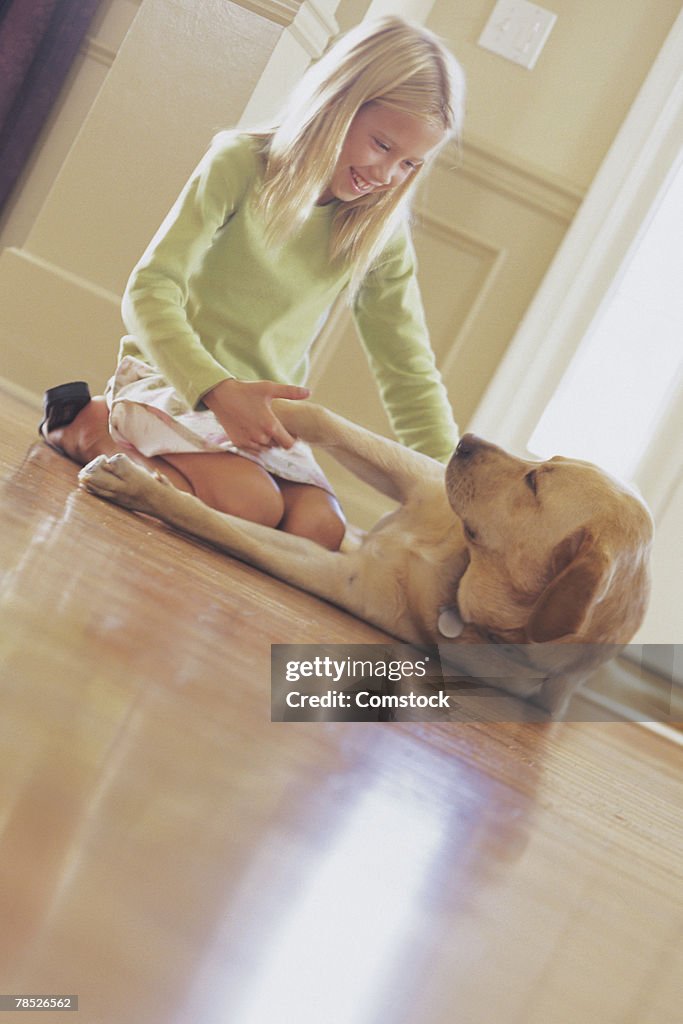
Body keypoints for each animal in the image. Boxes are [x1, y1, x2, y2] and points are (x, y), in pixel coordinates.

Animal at [77, 395, 655, 716]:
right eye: (548, 459)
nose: (465, 439)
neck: (461, 571)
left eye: (535, 482)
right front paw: (255, 405)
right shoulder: (420, 477)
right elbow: (321, 416)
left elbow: (215, 522)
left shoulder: (342, 575)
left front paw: (138, 487)